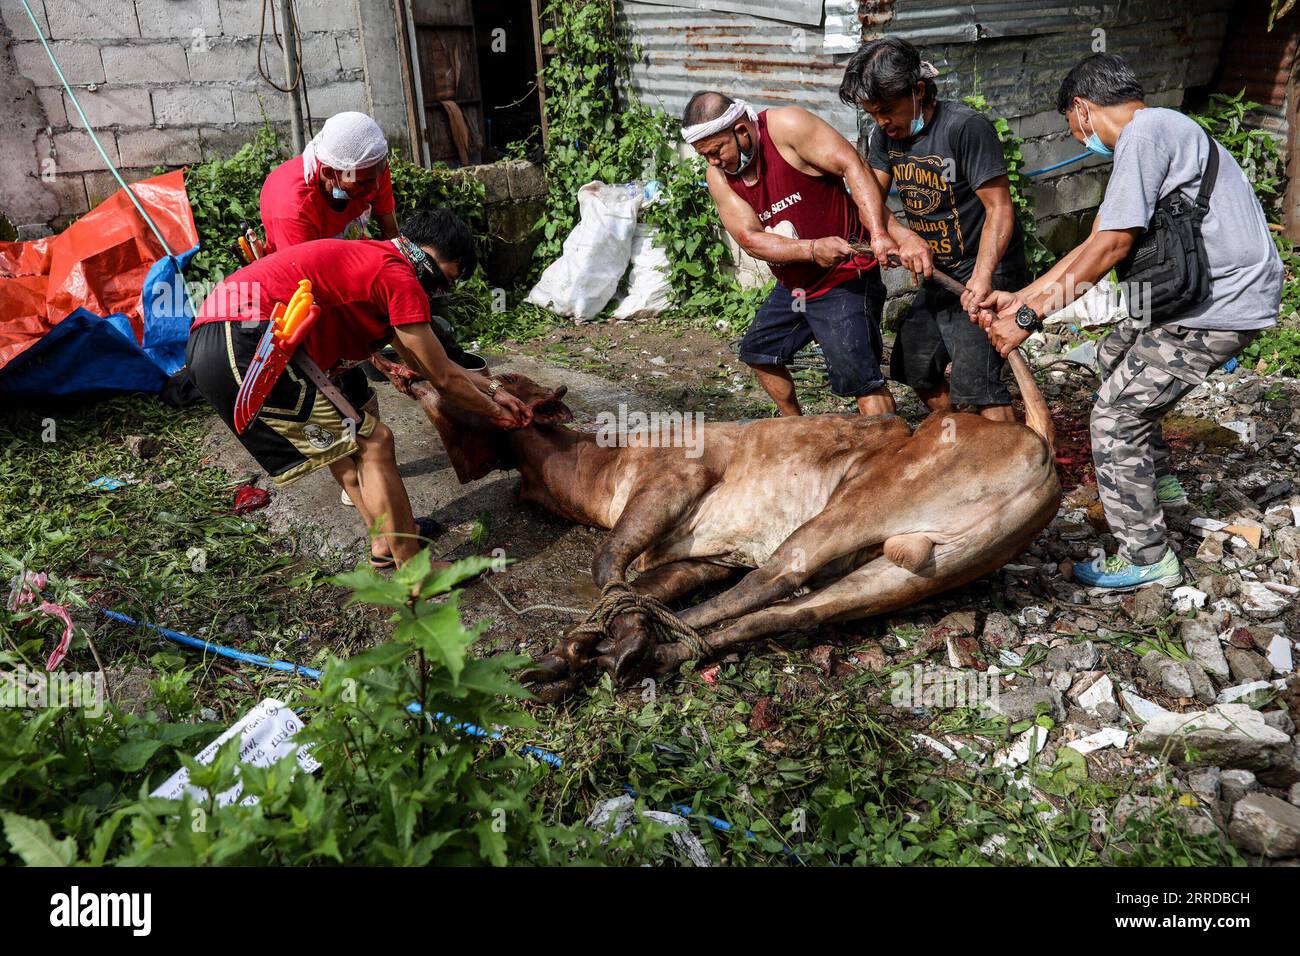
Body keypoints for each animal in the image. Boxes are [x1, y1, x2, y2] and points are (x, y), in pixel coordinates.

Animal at [371, 348, 1060, 697]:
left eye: (503, 375)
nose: (396, 357)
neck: (595, 471)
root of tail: (1040, 448)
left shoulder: (675, 478)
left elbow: (605, 565)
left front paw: (601, 638)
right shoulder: (698, 556)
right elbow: (637, 587)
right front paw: (585, 642)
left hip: (861, 505)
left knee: (771, 583)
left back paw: (621, 652)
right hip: (918, 568)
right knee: (787, 612)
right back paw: (641, 652)